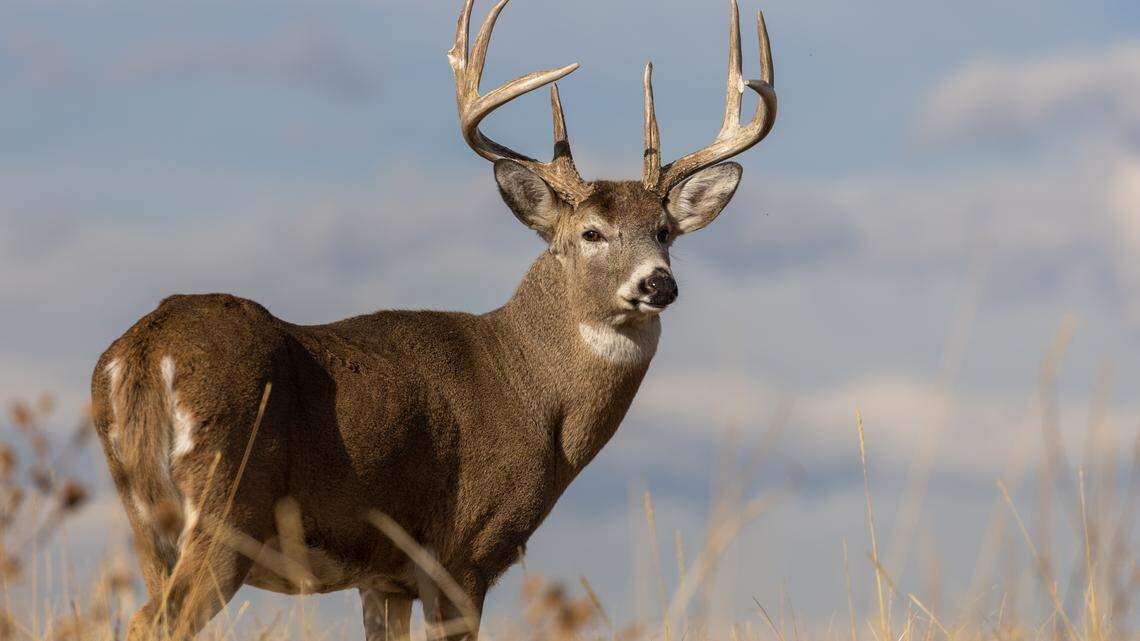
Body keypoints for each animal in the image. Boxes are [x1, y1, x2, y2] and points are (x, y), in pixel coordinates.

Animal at [89, 0, 776, 639]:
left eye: (664, 232)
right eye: (591, 232)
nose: (659, 283)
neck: (530, 389)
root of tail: (143, 351)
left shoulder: (383, 577)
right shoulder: (464, 551)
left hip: (145, 518)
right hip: (227, 504)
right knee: (155, 620)